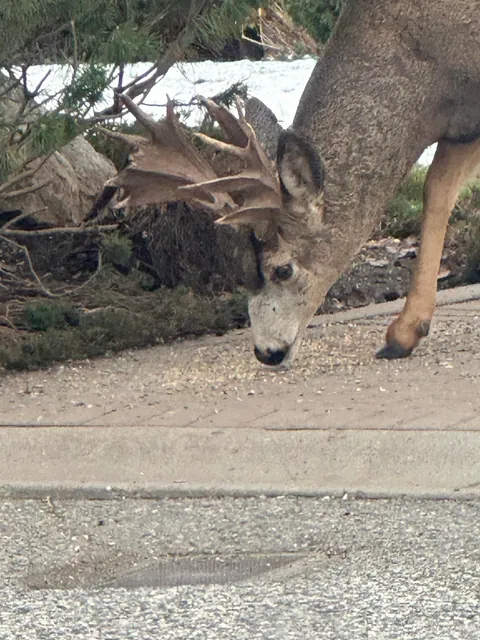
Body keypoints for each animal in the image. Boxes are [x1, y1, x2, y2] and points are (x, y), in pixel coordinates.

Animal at [107, 0, 480, 368]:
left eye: (283, 269)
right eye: (241, 267)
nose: (267, 352)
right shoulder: (462, 126)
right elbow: (437, 191)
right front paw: (403, 334)